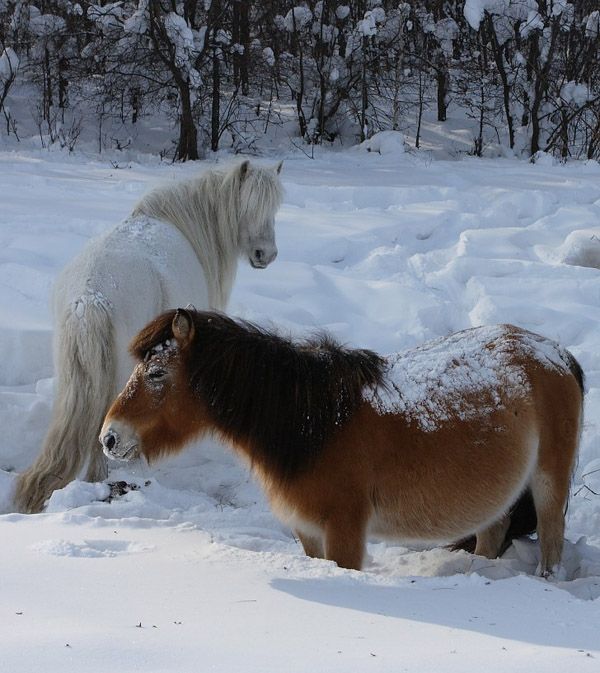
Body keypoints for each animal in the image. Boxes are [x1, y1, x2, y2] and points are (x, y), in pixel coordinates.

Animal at [101, 312, 584, 576]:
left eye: (157, 373)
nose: (109, 437)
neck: (314, 423)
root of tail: (558, 354)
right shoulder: (309, 531)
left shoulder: (345, 531)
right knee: (494, 531)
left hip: (549, 482)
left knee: (551, 542)